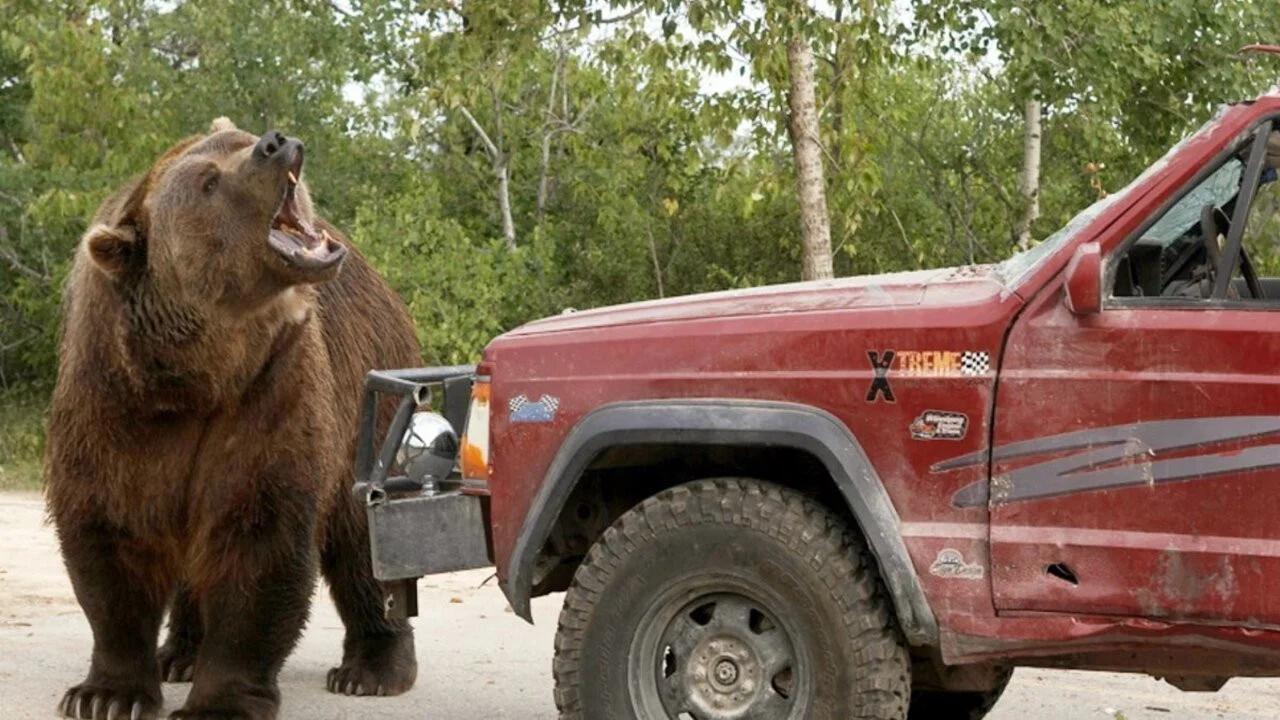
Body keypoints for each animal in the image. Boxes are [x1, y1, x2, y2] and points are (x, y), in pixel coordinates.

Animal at [44, 118, 421, 720]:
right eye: (208, 181)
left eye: (240, 140)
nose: (274, 143)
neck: (195, 375)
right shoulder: (109, 393)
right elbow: (110, 532)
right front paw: (105, 694)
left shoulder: (270, 388)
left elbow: (257, 536)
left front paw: (218, 701)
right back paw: (179, 654)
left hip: (370, 393)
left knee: (365, 540)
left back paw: (372, 669)